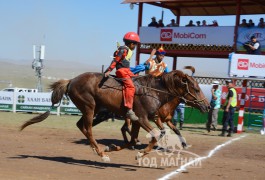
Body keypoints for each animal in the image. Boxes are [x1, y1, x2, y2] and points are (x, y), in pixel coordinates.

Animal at [20, 70, 208, 162]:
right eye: (196, 88)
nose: (207, 105)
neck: (152, 91)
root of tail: (71, 80)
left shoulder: (140, 121)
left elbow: (134, 139)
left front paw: (113, 147)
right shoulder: (143, 118)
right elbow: (155, 135)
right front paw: (139, 154)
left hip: (95, 110)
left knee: (81, 126)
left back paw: (98, 149)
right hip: (89, 107)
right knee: (88, 129)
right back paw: (100, 154)